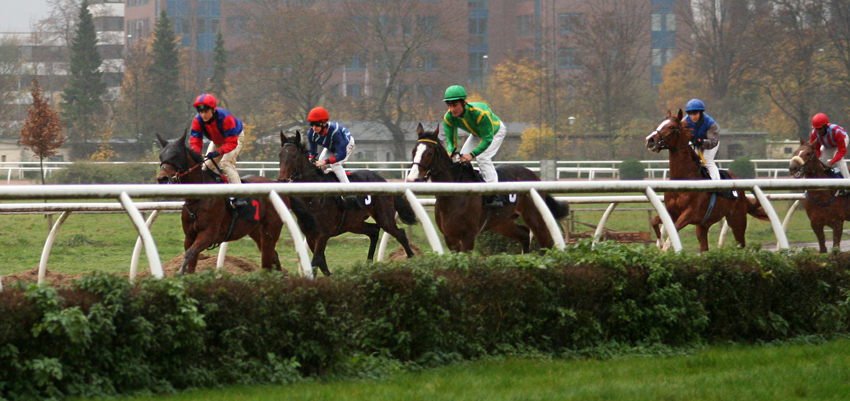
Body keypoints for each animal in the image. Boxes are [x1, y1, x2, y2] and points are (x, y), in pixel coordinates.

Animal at [157, 131, 314, 276]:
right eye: (161, 156)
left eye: (175, 156)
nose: (162, 178)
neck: (199, 197)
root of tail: (276, 185)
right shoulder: (190, 236)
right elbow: (191, 260)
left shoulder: (208, 235)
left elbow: (189, 254)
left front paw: (179, 273)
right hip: (255, 231)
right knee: (273, 257)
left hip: (271, 229)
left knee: (268, 260)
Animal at [276, 131, 416, 276]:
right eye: (280, 155)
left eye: (294, 155)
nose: (281, 180)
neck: (313, 197)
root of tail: (383, 180)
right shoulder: (310, 235)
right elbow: (321, 263)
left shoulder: (323, 234)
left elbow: (316, 262)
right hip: (353, 222)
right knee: (374, 231)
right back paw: (368, 264)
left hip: (384, 217)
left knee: (400, 234)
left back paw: (412, 259)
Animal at [402, 123, 568, 252]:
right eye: (413, 151)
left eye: (429, 153)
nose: (412, 178)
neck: (453, 194)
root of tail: (535, 175)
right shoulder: (450, 238)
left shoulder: (468, 237)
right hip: (502, 223)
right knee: (524, 235)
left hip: (535, 216)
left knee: (545, 243)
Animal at [644, 108, 768, 253]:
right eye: (660, 124)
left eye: (671, 127)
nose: (650, 140)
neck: (683, 179)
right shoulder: (672, 213)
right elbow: (654, 222)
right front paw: (660, 243)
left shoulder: (690, 214)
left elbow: (673, 229)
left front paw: (665, 246)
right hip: (703, 225)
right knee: (704, 247)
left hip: (737, 219)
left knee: (740, 244)